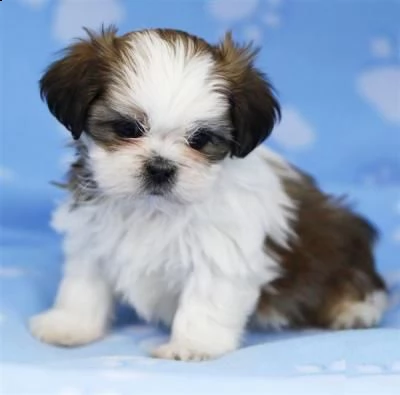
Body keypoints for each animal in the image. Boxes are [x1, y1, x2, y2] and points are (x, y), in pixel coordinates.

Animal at [31, 27, 388, 362]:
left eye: (200, 139)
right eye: (127, 129)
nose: (160, 167)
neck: (154, 209)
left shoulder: (222, 254)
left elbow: (205, 301)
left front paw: (191, 345)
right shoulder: (91, 237)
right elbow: (84, 285)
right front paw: (70, 325)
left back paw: (352, 310)